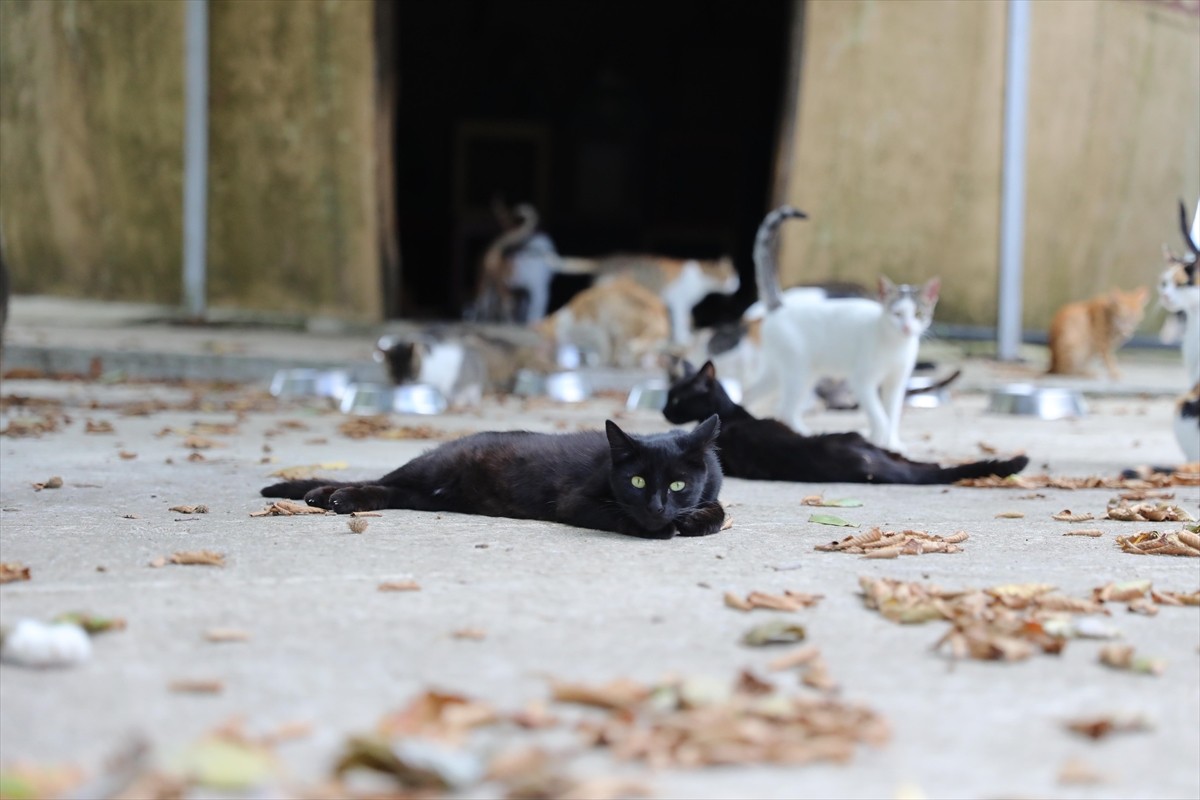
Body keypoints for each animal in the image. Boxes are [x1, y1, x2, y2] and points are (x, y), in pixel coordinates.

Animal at [264, 417, 724, 542]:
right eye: (638, 482)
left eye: (678, 485)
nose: (658, 508)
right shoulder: (578, 502)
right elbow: (622, 516)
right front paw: (662, 529)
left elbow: (718, 508)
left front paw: (695, 521)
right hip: (430, 469)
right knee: (381, 480)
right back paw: (327, 495)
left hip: (427, 495)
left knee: (389, 490)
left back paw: (334, 498)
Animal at [748, 203, 936, 450]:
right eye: (897, 314)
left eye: (918, 314)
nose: (906, 328)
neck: (895, 344)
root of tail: (781, 306)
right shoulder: (862, 381)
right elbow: (880, 416)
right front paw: (879, 439)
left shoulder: (896, 382)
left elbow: (892, 414)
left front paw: (892, 443)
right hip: (797, 373)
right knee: (785, 409)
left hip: (789, 373)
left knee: (749, 393)